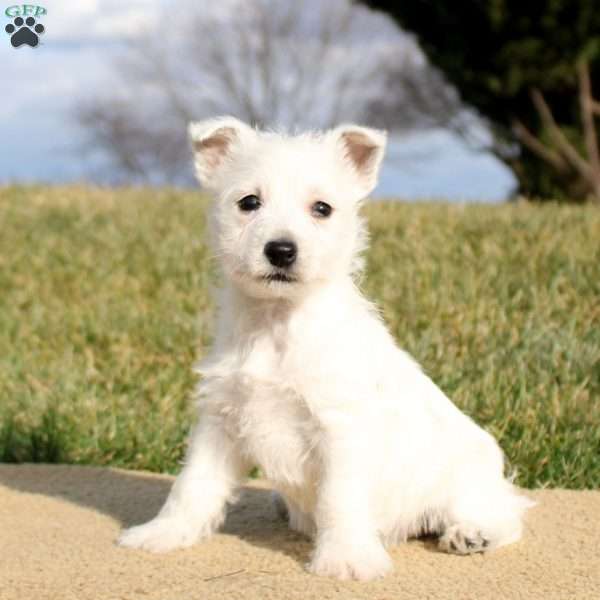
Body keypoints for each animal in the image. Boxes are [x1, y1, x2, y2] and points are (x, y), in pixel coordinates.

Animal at [118, 115, 536, 580]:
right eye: (249, 202)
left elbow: (338, 498)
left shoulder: (339, 428)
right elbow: (192, 485)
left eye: (322, 208)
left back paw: (472, 534)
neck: (278, 325)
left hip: (466, 481)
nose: (281, 251)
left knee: (507, 511)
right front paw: (161, 534)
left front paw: (346, 559)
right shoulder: (221, 419)